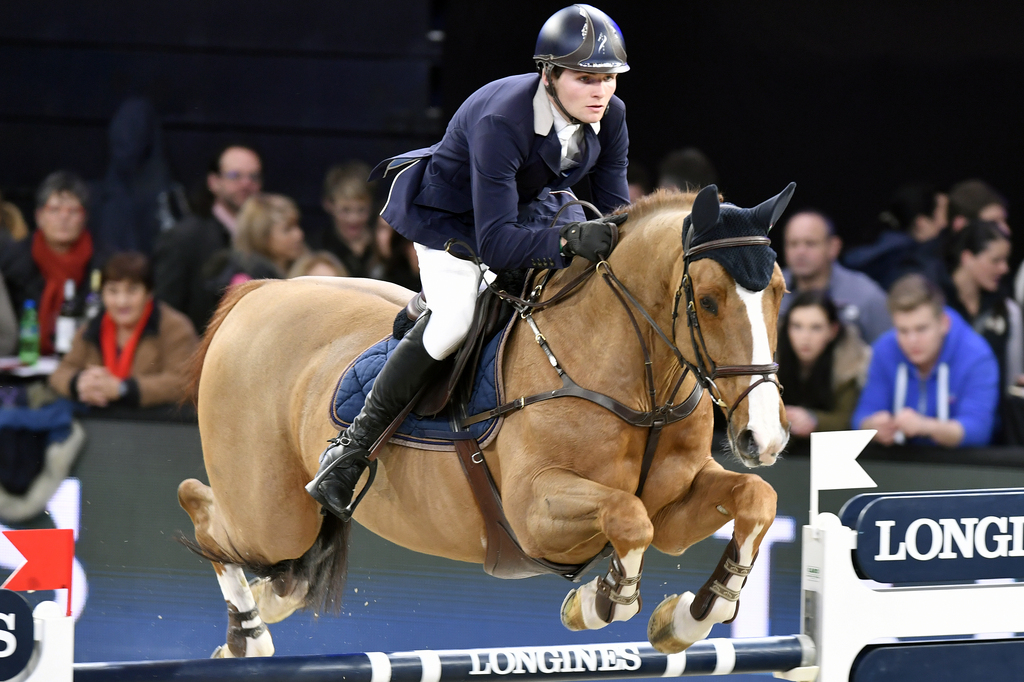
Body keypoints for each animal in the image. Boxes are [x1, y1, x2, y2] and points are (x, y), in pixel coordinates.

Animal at [180, 183, 794, 655]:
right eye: (708, 301)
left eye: (779, 293)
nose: (762, 438)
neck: (634, 382)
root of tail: (259, 294)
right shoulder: (534, 511)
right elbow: (629, 517)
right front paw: (597, 602)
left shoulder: (675, 505)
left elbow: (754, 499)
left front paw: (692, 616)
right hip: (272, 514)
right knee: (203, 505)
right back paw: (247, 635)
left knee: (279, 574)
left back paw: (262, 610)